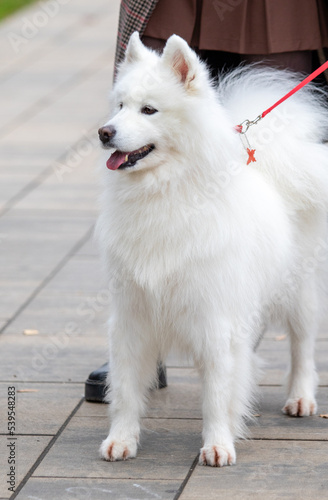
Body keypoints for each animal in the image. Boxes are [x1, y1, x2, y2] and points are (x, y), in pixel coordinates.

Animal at [96, 33, 328, 466]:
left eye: (148, 110)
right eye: (119, 106)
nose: (104, 132)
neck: (165, 193)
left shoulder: (215, 316)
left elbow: (218, 393)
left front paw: (218, 444)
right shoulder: (133, 314)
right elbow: (126, 388)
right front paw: (121, 439)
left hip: (299, 291)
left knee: (302, 346)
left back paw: (301, 398)